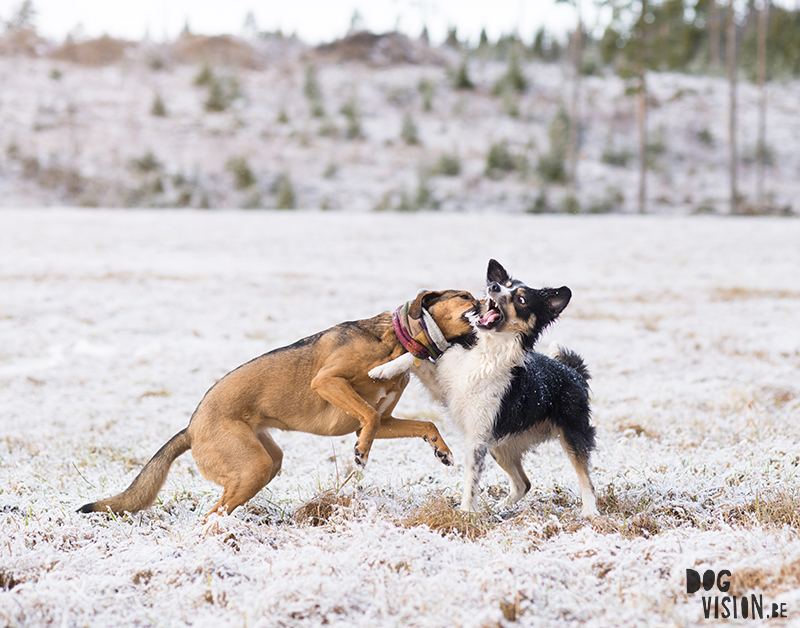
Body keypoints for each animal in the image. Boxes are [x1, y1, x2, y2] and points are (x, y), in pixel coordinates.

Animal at [78, 288, 478, 516]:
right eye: (465, 296)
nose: (488, 301)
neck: (396, 340)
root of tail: (190, 428)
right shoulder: (328, 382)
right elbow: (368, 415)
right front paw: (361, 453)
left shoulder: (386, 418)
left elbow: (422, 423)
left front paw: (442, 451)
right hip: (252, 464)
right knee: (213, 514)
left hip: (267, 460)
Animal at [372, 258, 596, 516]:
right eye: (503, 285)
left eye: (521, 299)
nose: (494, 287)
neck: (487, 351)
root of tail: (574, 372)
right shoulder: (446, 386)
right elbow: (415, 356)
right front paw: (383, 369)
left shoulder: (478, 435)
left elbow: (471, 479)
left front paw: (466, 513)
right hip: (500, 444)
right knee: (523, 483)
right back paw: (501, 508)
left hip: (571, 435)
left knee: (585, 478)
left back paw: (591, 512)